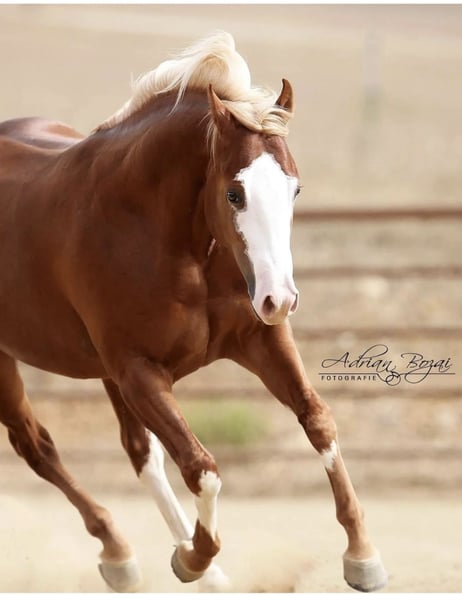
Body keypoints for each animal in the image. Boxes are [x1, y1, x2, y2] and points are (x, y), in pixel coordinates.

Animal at [0, 32, 387, 592]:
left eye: (294, 188)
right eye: (234, 192)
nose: (281, 298)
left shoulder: (258, 340)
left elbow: (318, 420)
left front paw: (362, 556)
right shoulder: (140, 373)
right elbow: (202, 468)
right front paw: (194, 558)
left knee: (138, 453)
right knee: (38, 447)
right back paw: (120, 553)